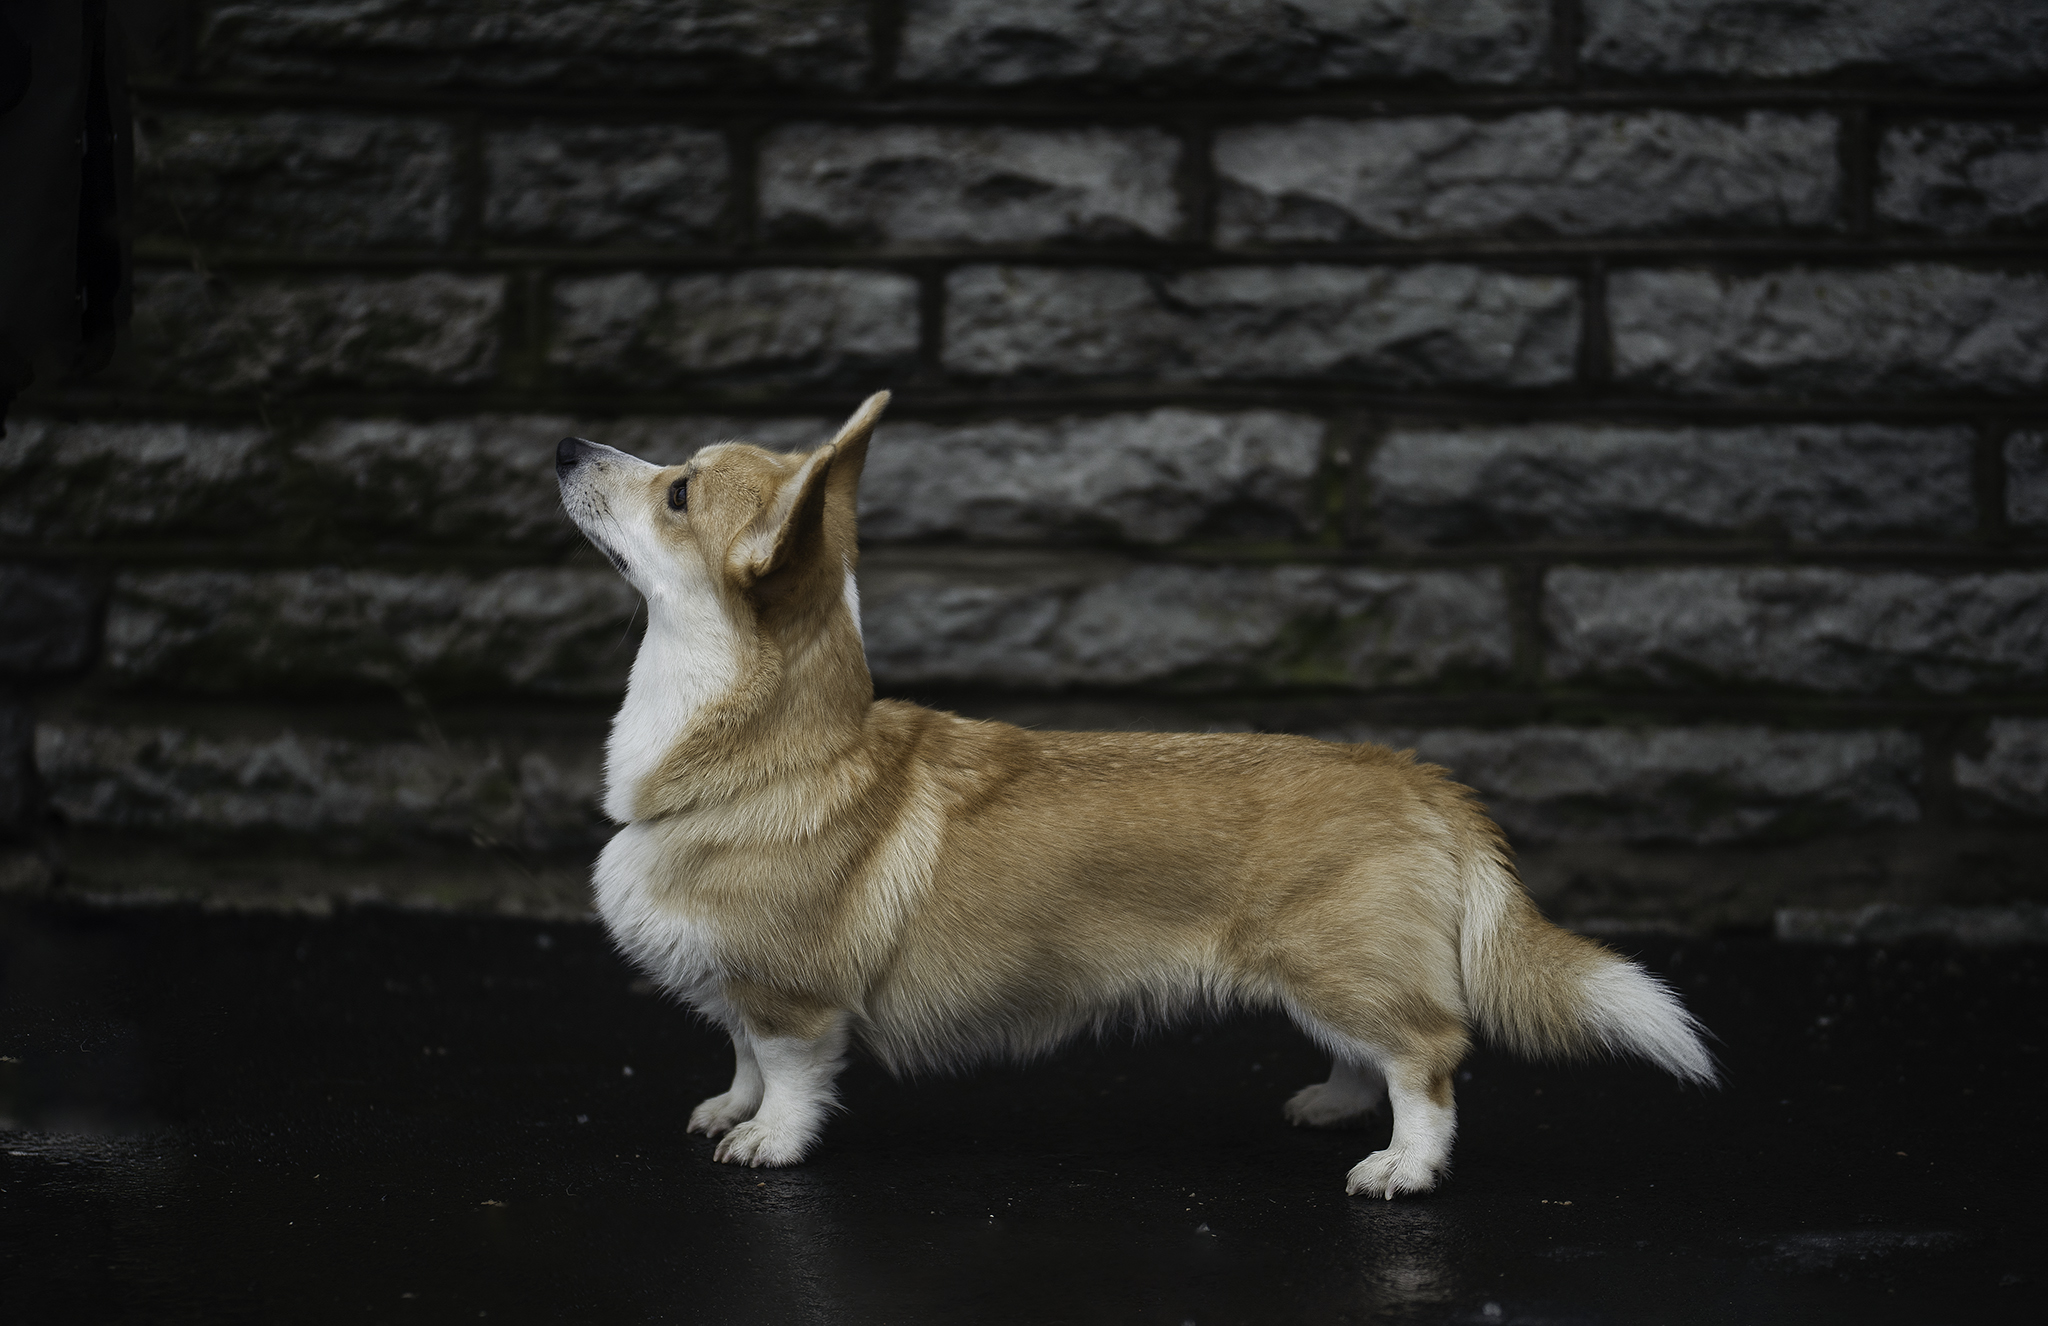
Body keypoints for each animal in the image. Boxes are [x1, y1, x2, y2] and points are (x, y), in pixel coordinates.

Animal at [554, 392, 1715, 1198]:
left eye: (678, 491)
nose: (566, 444)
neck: (761, 748)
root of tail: (1422, 780)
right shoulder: (739, 994)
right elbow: (740, 1053)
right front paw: (727, 1107)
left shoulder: (793, 997)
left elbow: (791, 1077)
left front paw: (767, 1142)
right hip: (1326, 974)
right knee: (1374, 1051)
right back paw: (1334, 1106)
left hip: (1333, 964)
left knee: (1427, 1057)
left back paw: (1402, 1166)